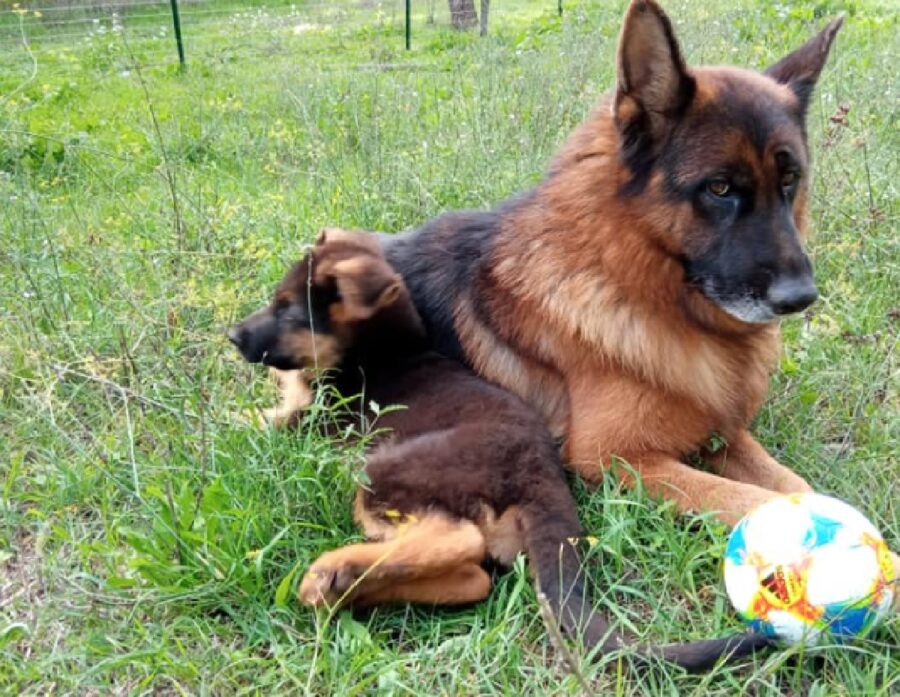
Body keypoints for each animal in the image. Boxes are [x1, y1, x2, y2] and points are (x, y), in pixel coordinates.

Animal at [229, 230, 768, 668]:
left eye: (286, 308)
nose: (232, 336)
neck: (387, 346)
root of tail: (539, 475)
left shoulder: (307, 413)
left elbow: (266, 413)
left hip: (386, 472)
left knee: (458, 540)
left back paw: (331, 573)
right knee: (476, 578)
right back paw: (354, 589)